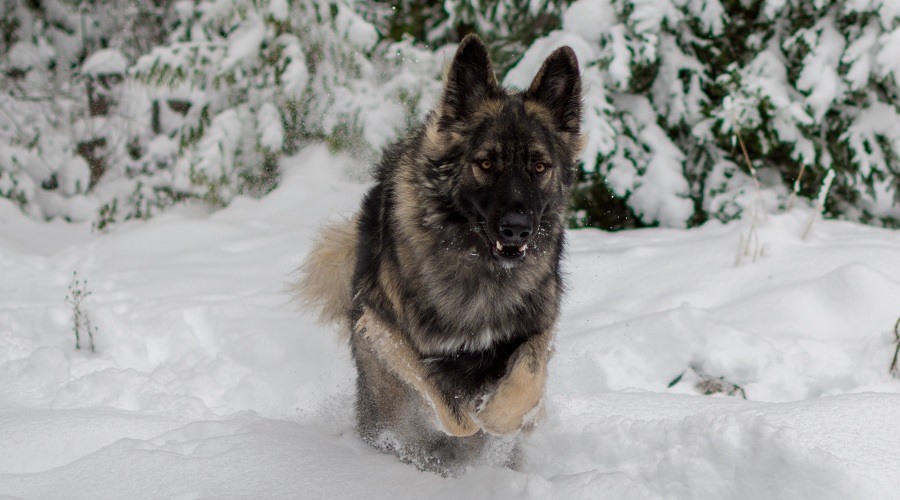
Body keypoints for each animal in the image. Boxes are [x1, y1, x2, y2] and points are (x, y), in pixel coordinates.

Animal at [298, 34, 584, 472]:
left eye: (539, 166)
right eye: (486, 163)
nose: (517, 228)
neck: (479, 264)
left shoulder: (539, 323)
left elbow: (527, 379)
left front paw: (507, 417)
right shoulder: (383, 326)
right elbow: (444, 402)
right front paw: (471, 420)